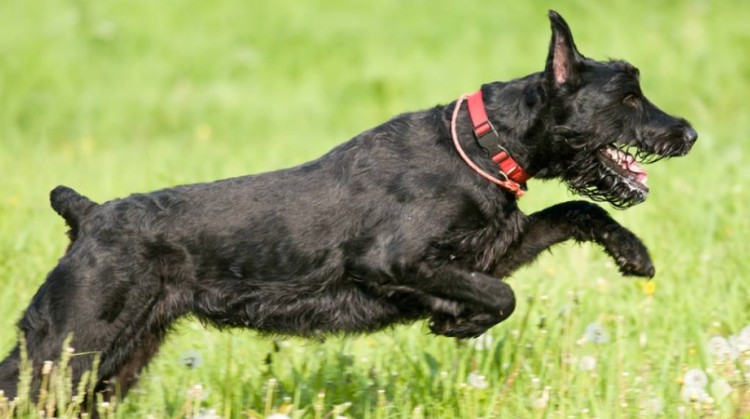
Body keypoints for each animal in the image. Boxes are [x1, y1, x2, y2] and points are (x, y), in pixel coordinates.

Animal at [0, 10, 696, 404]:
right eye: (629, 95)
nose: (688, 133)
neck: (484, 141)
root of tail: (89, 215)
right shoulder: (395, 262)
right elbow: (503, 296)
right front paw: (455, 322)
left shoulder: (492, 249)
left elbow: (573, 215)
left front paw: (634, 255)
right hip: (65, 348)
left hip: (114, 362)